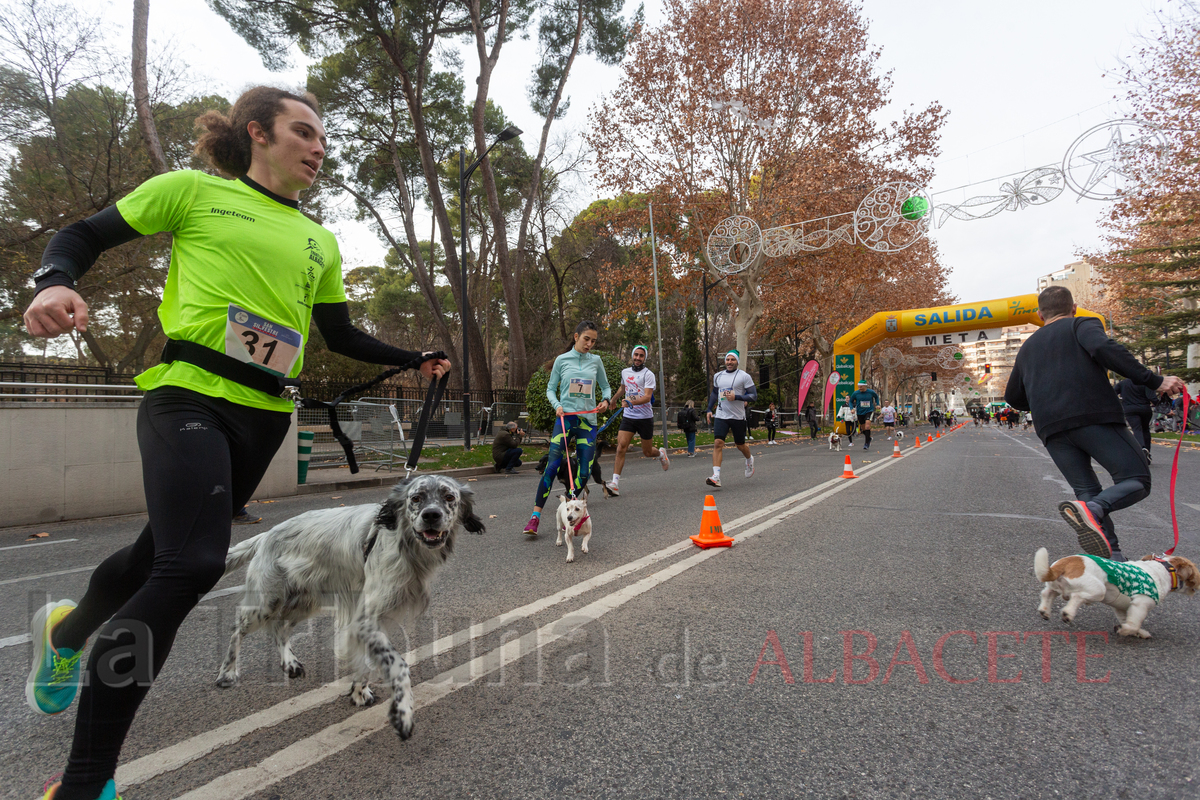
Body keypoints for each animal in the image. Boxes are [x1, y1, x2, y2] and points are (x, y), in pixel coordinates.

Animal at [216, 472, 482, 743]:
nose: (431, 515)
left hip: (304, 601)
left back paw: (290, 663)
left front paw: (358, 692)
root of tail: (266, 536)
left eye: (449, 497)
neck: (405, 545)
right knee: (238, 628)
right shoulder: (365, 620)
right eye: (416, 498)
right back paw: (227, 673)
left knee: (279, 628)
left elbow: (363, 664)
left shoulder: (370, 621)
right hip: (266, 602)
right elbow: (399, 665)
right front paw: (403, 712)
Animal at [1032, 551, 1200, 638]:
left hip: (1055, 585)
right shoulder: (1141, 604)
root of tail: (1066, 563)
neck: (1165, 568)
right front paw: (1125, 630)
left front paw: (1139, 632)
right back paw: (1068, 614)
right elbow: (1133, 624)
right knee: (1076, 597)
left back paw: (1045, 611)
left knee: (1047, 593)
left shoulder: (1121, 608)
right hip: (1099, 590)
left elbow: (1128, 620)